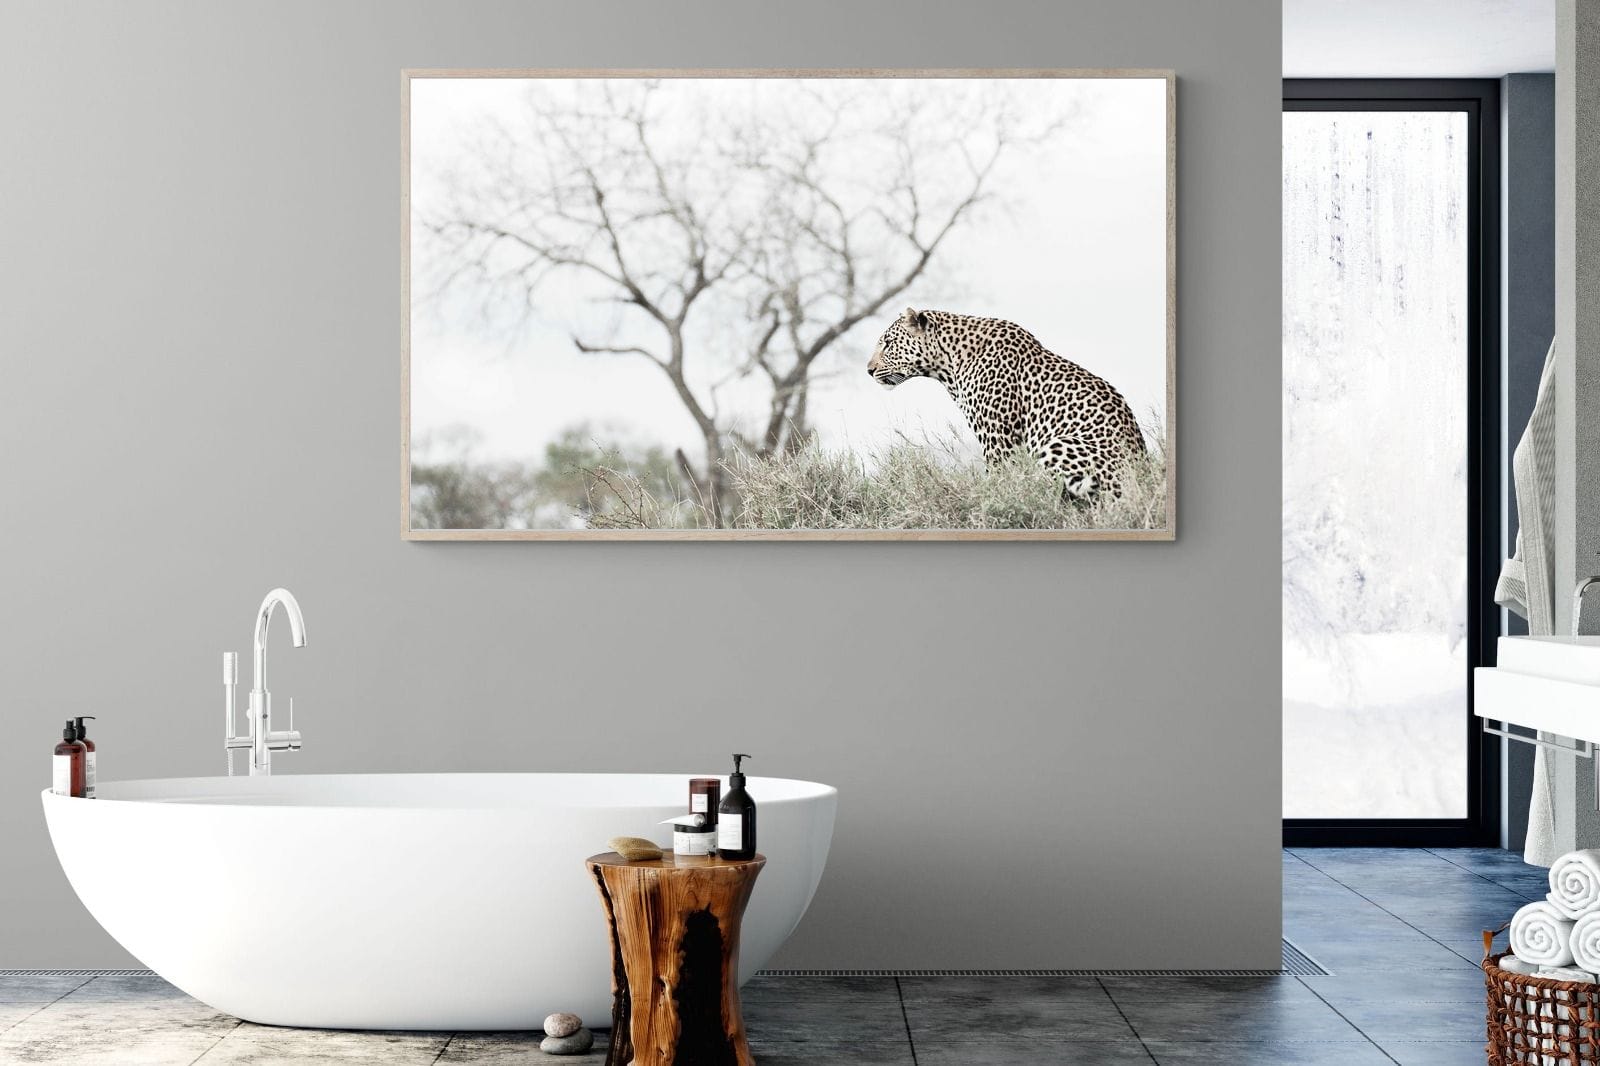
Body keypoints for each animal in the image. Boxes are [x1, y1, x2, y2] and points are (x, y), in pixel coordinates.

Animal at [866, 307, 1148, 499]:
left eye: (888, 343)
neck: (948, 363)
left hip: (1059, 444)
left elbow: (998, 480)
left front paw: (991, 502)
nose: (869, 370)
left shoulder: (997, 438)